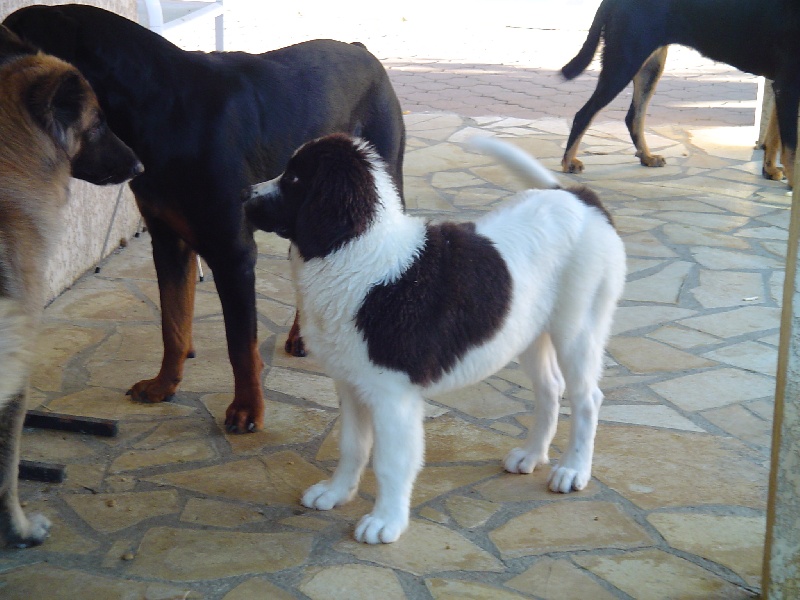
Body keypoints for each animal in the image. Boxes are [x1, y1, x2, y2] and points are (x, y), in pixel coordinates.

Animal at [4, 4, 407, 434]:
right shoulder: (168, 242)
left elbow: (240, 344)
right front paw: (164, 384)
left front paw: (247, 409)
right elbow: (173, 324)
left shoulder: (232, 253)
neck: (161, 108)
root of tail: (362, 49)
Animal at [243, 133, 626, 543]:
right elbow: (352, 445)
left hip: (577, 327)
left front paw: (386, 521)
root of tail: (578, 197)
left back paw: (573, 470)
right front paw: (336, 493)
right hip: (527, 331)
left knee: (586, 398)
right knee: (550, 388)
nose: (244, 195)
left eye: (295, 179)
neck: (357, 253)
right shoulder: (350, 382)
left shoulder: (392, 393)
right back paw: (531, 455)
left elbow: (391, 460)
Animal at [560, 0, 799, 188]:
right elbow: (790, 148)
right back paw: (568, 162)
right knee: (584, 114)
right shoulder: (788, 86)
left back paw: (647, 157)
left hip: (651, 65)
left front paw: (770, 170)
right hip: (625, 62)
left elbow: (775, 137)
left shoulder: (779, 85)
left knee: (633, 117)